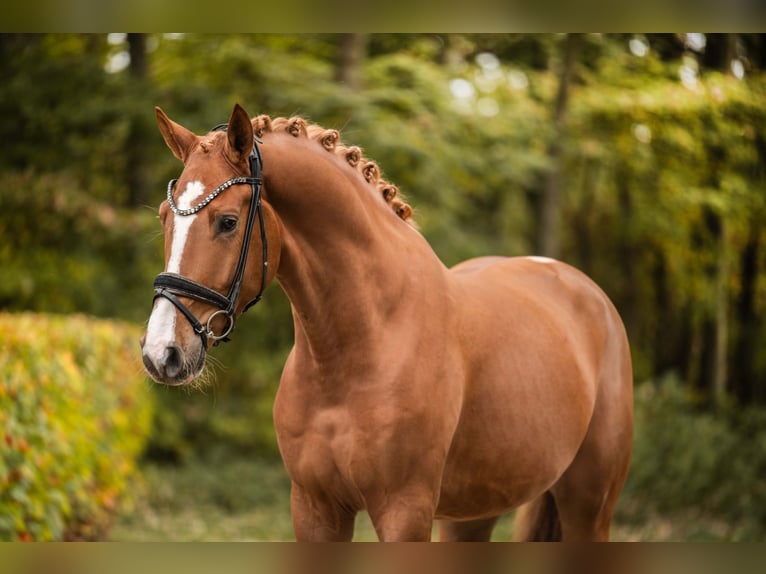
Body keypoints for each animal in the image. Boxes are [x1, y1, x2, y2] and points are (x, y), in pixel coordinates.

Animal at [141, 103, 633, 542]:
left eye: (227, 222)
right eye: (165, 218)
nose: (161, 352)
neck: (362, 345)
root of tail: (582, 287)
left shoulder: (404, 510)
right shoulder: (314, 508)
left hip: (588, 506)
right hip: (473, 514)